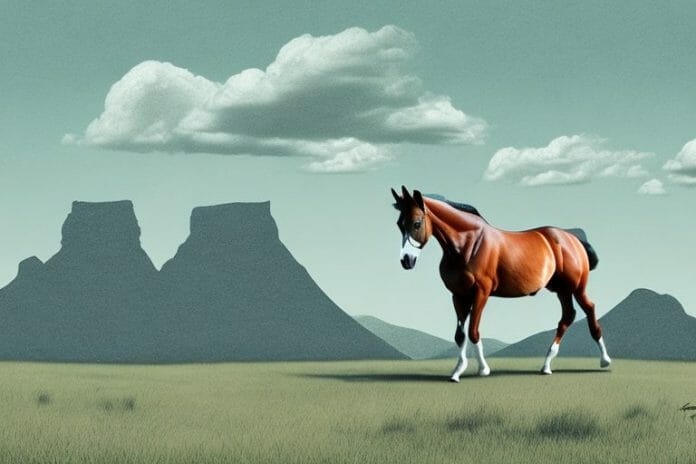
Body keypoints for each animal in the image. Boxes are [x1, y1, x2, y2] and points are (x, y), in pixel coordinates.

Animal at [391, 186, 611, 381]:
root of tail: (573, 239)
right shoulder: (458, 295)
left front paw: (483, 369)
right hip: (561, 290)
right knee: (568, 316)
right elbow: (460, 335)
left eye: (417, 223)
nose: (406, 261)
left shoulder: (481, 292)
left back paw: (605, 360)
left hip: (576, 288)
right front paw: (457, 372)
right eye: (399, 224)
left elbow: (473, 331)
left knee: (589, 309)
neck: (468, 244)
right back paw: (547, 365)